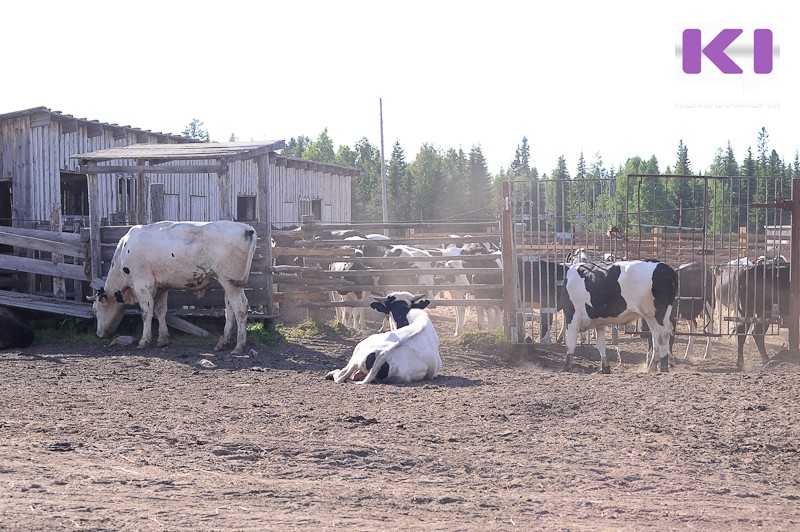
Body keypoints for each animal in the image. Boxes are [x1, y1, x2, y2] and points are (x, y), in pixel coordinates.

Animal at [92, 219, 258, 354]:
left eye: (95, 310)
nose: (99, 334)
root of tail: (246, 227)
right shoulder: (162, 286)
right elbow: (160, 310)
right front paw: (162, 339)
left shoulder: (142, 284)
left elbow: (146, 312)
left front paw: (144, 341)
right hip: (229, 284)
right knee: (231, 311)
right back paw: (222, 343)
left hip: (230, 283)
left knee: (240, 309)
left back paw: (238, 346)